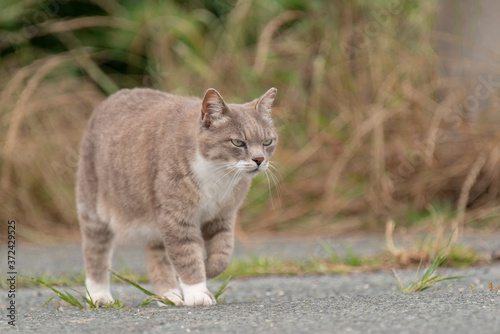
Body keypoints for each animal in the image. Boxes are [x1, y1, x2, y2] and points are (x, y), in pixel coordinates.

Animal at [75, 87, 278, 306]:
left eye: (267, 141)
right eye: (238, 142)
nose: (259, 159)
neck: (217, 175)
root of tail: (111, 99)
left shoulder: (222, 217)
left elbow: (223, 254)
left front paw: (207, 268)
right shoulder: (176, 218)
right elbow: (187, 255)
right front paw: (197, 292)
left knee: (157, 257)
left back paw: (169, 295)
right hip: (93, 210)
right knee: (95, 253)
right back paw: (99, 295)